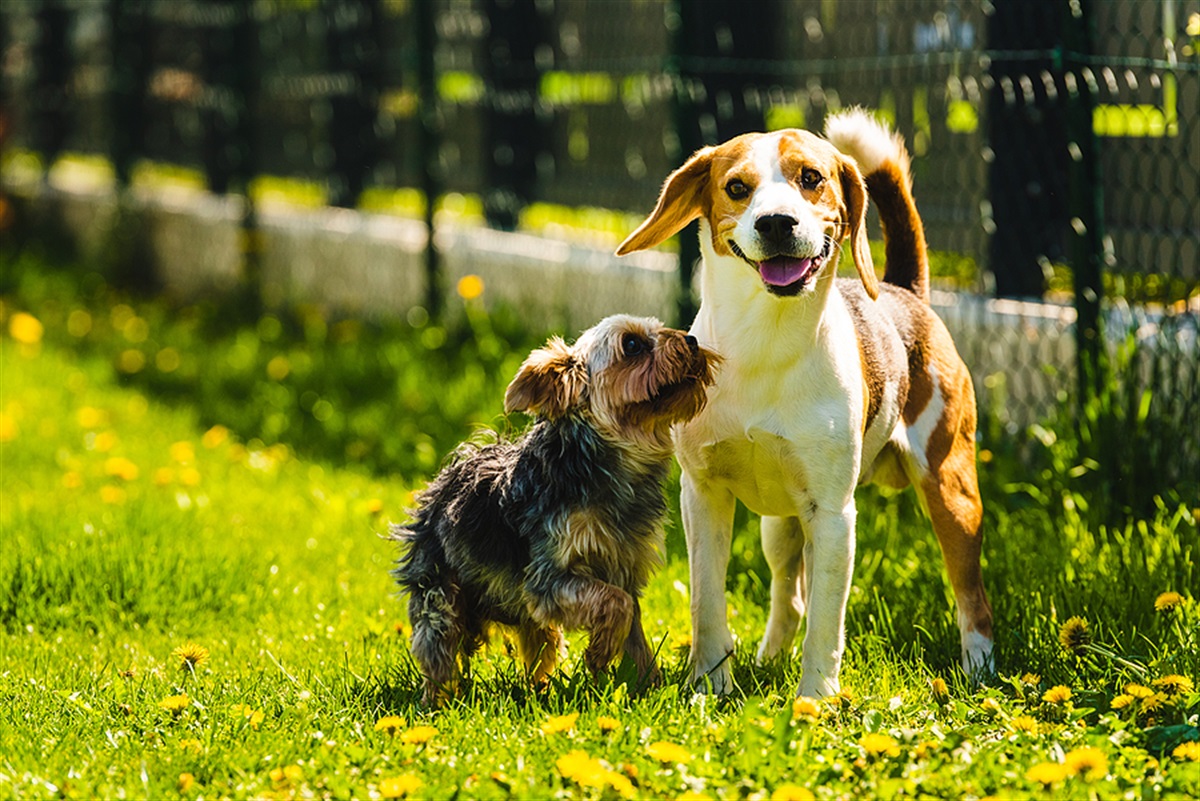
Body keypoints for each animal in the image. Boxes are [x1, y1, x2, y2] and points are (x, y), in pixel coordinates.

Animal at [619, 109, 993, 695]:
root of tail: (904, 291)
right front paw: (709, 686)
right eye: (737, 187)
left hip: (951, 494)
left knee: (970, 597)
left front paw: (815, 698)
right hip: (780, 525)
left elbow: (826, 621)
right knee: (790, 598)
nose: (776, 222)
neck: (765, 343)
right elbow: (707, 603)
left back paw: (979, 670)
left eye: (811, 178)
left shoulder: (834, 515)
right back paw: (769, 659)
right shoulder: (702, 496)